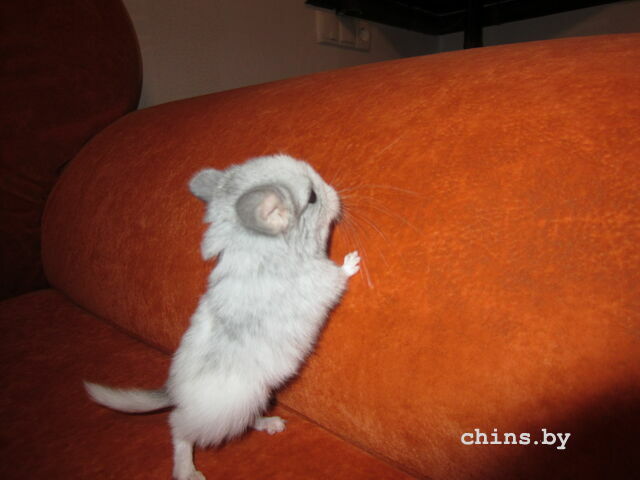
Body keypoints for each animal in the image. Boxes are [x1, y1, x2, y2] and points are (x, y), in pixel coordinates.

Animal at [84, 154, 360, 480]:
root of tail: (175, 393)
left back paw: (271, 424)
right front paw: (353, 260)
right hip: (225, 411)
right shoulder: (321, 281)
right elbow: (339, 274)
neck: (260, 246)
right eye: (313, 197)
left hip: (254, 398)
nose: (334, 192)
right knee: (178, 428)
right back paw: (188, 471)